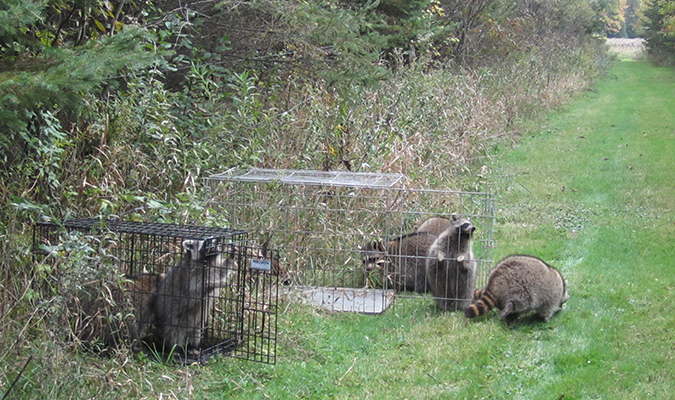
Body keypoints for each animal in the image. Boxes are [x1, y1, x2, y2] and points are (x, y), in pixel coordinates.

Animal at [31, 220, 280, 364]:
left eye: (216, 241)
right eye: (207, 243)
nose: (219, 243)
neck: (206, 260)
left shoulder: (212, 265)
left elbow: (221, 270)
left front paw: (232, 258)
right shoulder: (191, 274)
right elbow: (200, 286)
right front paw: (216, 284)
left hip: (196, 323)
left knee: (195, 331)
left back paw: (194, 348)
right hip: (172, 319)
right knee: (174, 333)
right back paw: (177, 350)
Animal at [206, 167, 496, 314]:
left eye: (373, 259)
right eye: (363, 260)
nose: (366, 270)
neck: (387, 252)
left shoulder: (397, 266)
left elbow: (396, 278)